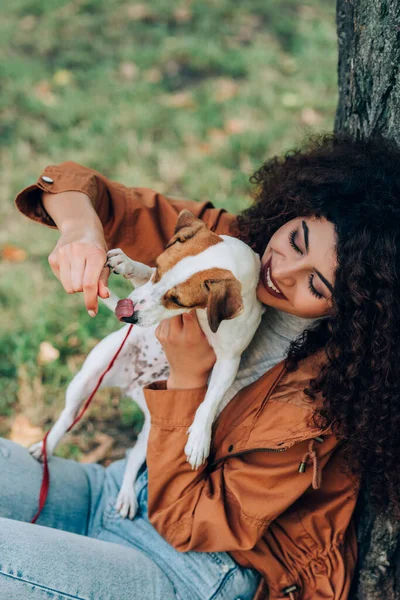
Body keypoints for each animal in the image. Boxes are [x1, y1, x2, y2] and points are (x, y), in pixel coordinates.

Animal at [29, 212, 264, 520]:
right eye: (159, 269)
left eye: (177, 300)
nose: (128, 315)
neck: (201, 314)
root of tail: (133, 387)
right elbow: (139, 273)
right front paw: (128, 263)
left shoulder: (229, 359)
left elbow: (209, 401)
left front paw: (199, 437)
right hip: (89, 375)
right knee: (68, 416)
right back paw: (47, 446)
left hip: (151, 432)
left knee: (132, 462)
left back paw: (127, 495)